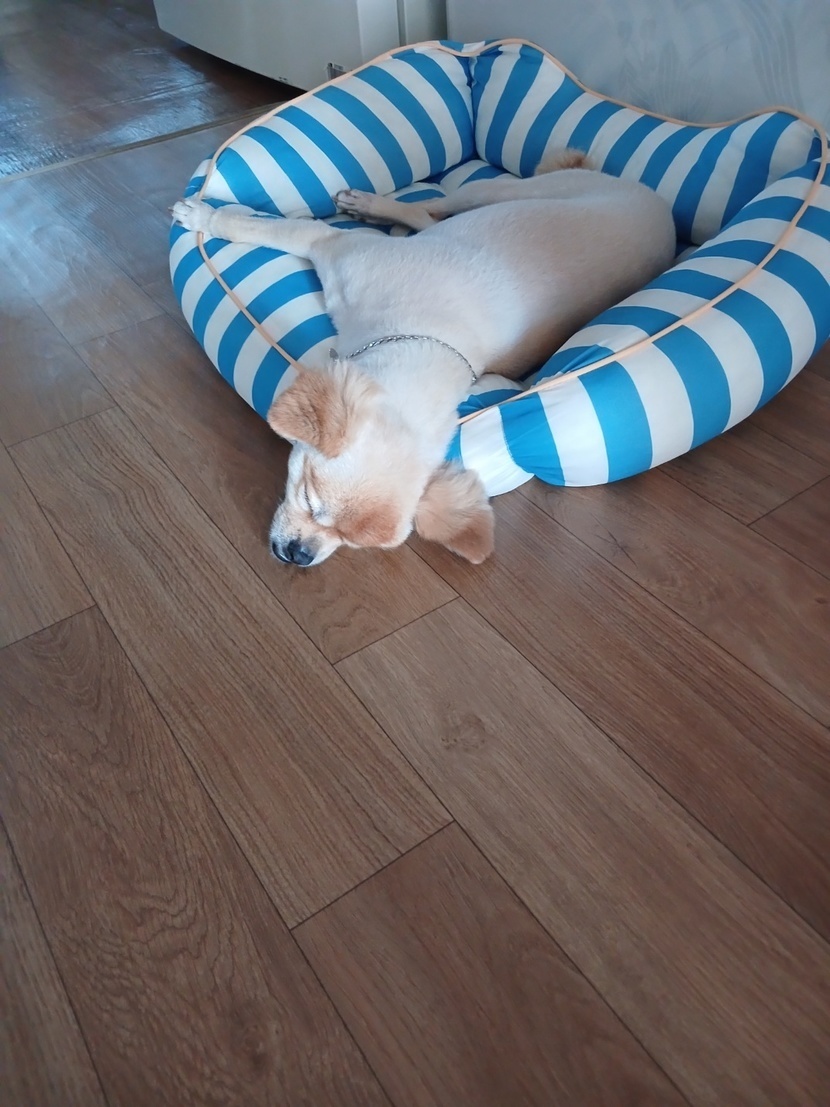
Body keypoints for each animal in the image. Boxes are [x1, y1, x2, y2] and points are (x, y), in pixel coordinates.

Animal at [172, 150, 675, 566]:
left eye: (349, 544)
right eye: (310, 498)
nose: (299, 555)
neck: (425, 338)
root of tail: (663, 209)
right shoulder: (326, 241)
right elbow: (261, 226)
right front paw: (206, 215)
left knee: (429, 214)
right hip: (498, 191)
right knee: (434, 206)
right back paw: (371, 205)